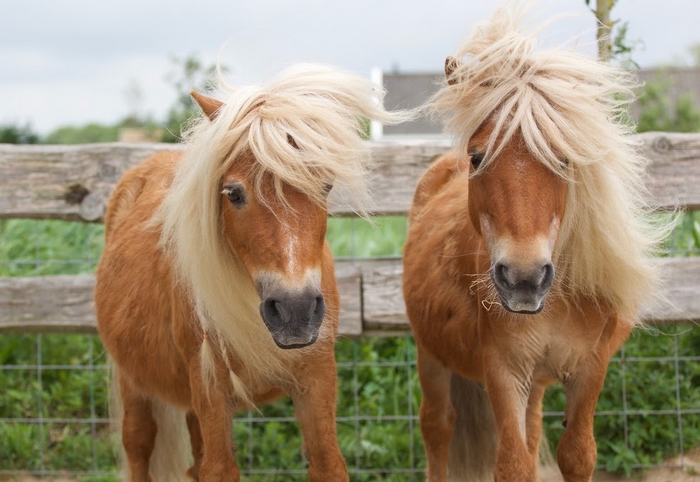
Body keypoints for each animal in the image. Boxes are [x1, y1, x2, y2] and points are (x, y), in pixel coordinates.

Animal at [95, 64, 408, 482]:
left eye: (325, 186)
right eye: (233, 193)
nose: (295, 310)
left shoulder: (316, 379)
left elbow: (327, 463)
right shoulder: (211, 386)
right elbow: (218, 468)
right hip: (135, 384)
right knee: (138, 445)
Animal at [402, 4, 668, 482]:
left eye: (563, 157)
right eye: (477, 157)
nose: (524, 278)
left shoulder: (590, 370)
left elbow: (576, 455)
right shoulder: (504, 370)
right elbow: (513, 463)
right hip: (430, 355)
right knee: (437, 425)